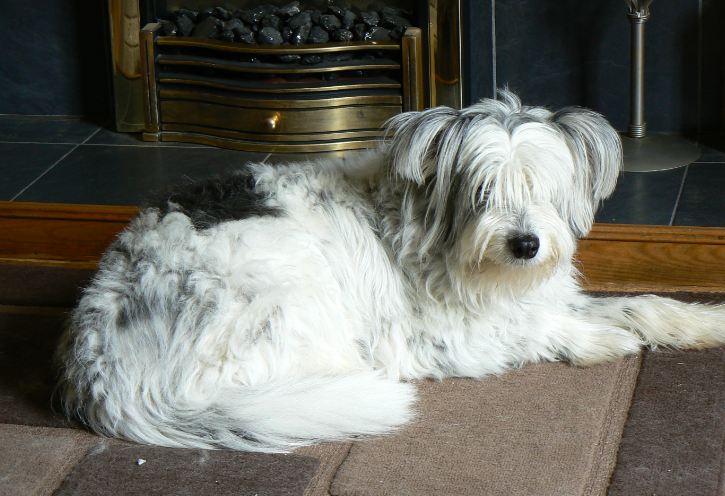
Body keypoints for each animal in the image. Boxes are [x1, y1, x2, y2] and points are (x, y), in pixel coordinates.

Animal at [56, 90, 724, 454]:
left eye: (543, 188)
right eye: (482, 192)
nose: (526, 245)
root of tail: (102, 371)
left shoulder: (534, 296)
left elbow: (639, 302)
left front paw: (702, 322)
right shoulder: (446, 336)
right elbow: (536, 330)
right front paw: (602, 340)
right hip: (292, 301)